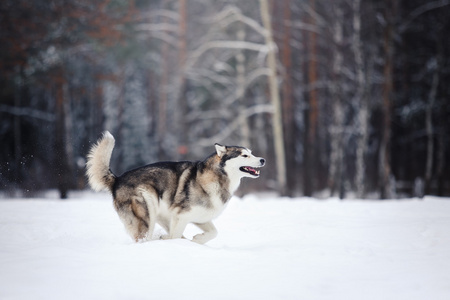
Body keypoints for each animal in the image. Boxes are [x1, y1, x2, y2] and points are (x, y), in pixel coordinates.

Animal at [85, 132, 264, 244]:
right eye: (244, 155)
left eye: (251, 153)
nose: (262, 159)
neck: (218, 177)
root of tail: (117, 179)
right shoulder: (181, 216)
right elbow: (175, 236)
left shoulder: (200, 217)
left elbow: (213, 232)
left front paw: (197, 240)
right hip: (148, 209)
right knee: (143, 238)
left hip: (162, 215)